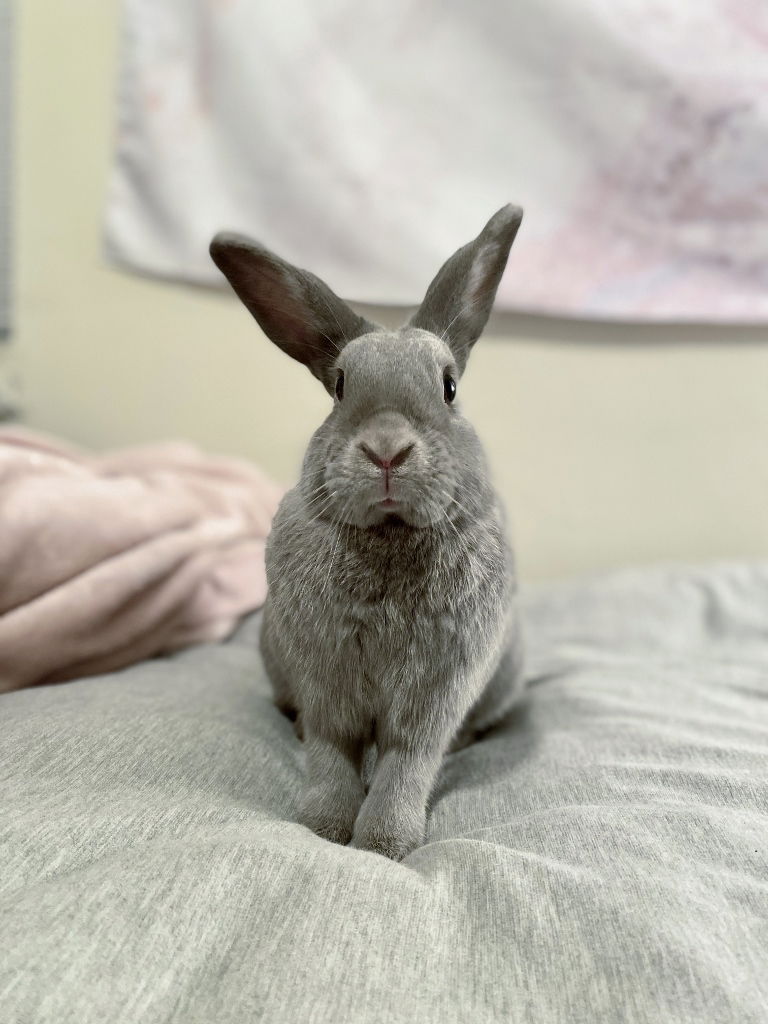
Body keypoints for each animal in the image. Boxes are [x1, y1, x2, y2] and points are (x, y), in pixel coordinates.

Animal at [207, 203, 528, 860]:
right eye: (340, 386)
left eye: (449, 386)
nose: (386, 450)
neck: (389, 536)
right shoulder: (326, 687)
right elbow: (331, 752)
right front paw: (323, 829)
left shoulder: (433, 698)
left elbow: (407, 762)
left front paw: (383, 844)